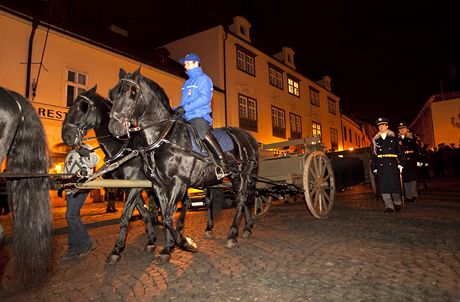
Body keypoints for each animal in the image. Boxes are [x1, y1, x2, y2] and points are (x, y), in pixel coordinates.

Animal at [61, 85, 178, 264]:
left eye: (83, 107)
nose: (65, 135)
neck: (124, 149)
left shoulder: (135, 187)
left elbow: (125, 217)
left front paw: (116, 250)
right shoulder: (129, 187)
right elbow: (143, 213)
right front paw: (151, 241)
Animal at [108, 68, 258, 262]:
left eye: (132, 92)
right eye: (112, 94)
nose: (114, 128)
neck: (164, 138)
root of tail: (248, 137)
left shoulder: (178, 183)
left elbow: (168, 216)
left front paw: (186, 243)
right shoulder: (158, 186)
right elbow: (166, 215)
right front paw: (167, 248)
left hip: (241, 175)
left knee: (240, 199)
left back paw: (233, 235)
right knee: (242, 199)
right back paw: (246, 228)